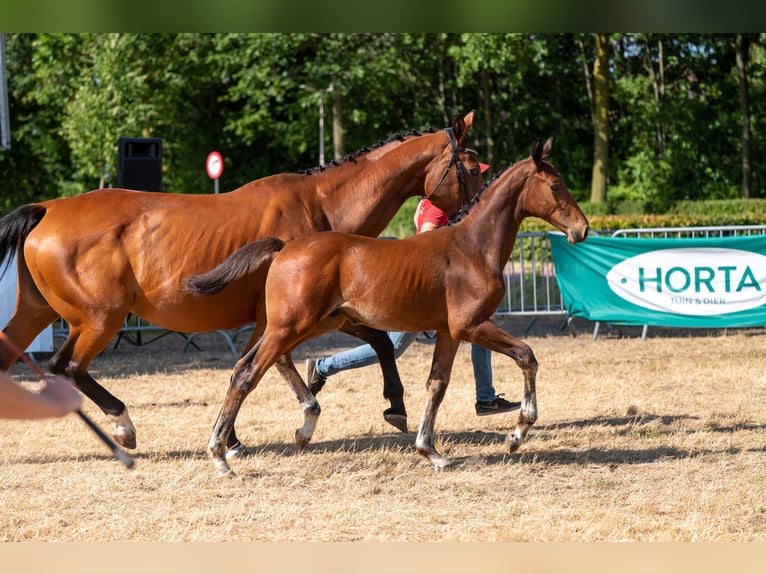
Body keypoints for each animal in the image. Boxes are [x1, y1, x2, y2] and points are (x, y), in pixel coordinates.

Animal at [0, 112, 484, 455]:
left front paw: (235, 438)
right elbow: (289, 362)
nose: (473, 217)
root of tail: (46, 208)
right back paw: (123, 425)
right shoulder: (304, 318)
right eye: (476, 169)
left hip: (38, 313)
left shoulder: (294, 319)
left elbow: (271, 364)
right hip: (101, 319)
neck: (321, 207)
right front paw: (377, 408)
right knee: (67, 366)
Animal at [184, 137, 589, 476]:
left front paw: (431, 452)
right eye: (555, 186)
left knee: (267, 364)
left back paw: (301, 428)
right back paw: (221, 454)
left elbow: (436, 384)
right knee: (246, 372)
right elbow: (526, 356)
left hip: (314, 324)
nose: (582, 229)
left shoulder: (449, 332)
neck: (472, 247)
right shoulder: (472, 325)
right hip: (290, 326)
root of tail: (285, 247)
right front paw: (517, 434)